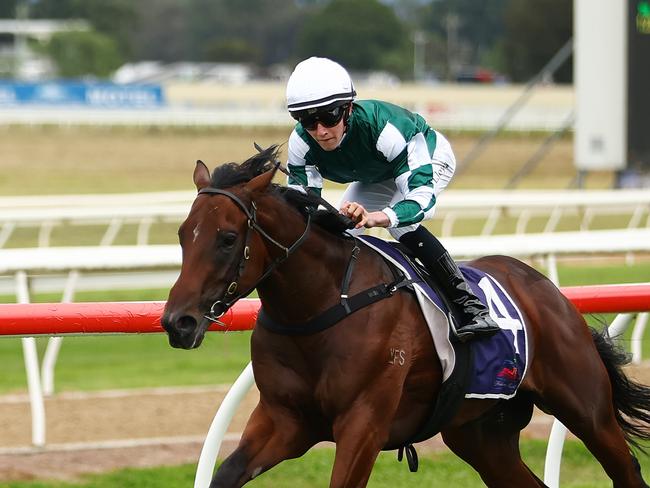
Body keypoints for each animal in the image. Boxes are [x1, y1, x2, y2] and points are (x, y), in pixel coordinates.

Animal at [163, 147, 648, 486]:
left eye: (228, 238)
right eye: (183, 235)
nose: (176, 322)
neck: (320, 306)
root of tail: (548, 290)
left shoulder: (363, 422)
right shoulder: (285, 420)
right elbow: (225, 474)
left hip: (586, 409)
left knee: (625, 469)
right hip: (481, 435)